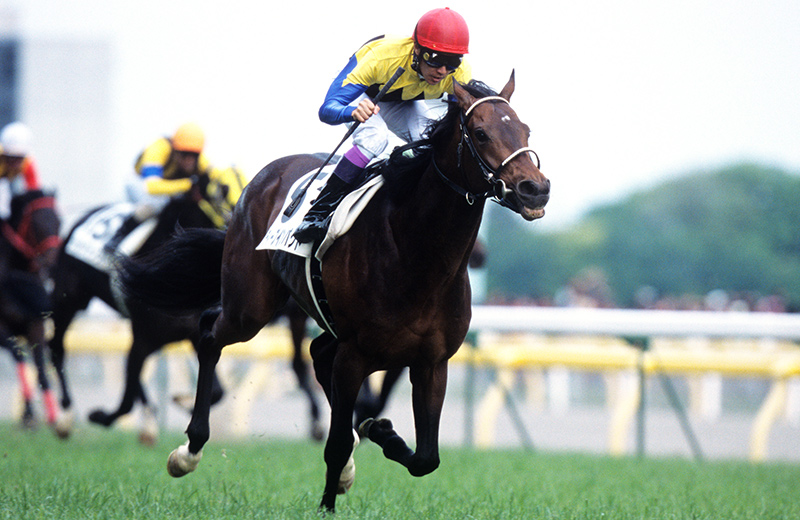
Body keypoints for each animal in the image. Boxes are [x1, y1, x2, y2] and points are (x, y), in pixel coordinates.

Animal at [0, 189, 63, 434]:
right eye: (36, 224)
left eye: (58, 221)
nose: (53, 264)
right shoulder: (2, 330)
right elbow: (20, 358)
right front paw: (29, 417)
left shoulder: (36, 325)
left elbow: (41, 369)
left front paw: (54, 416)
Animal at [119, 73, 549, 512]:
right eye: (480, 133)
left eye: (525, 130)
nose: (535, 188)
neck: (416, 255)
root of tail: (263, 177)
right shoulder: (356, 354)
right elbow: (338, 442)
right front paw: (330, 499)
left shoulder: (431, 361)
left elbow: (426, 458)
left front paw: (382, 433)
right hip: (250, 306)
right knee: (210, 333)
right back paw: (189, 449)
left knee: (316, 353)